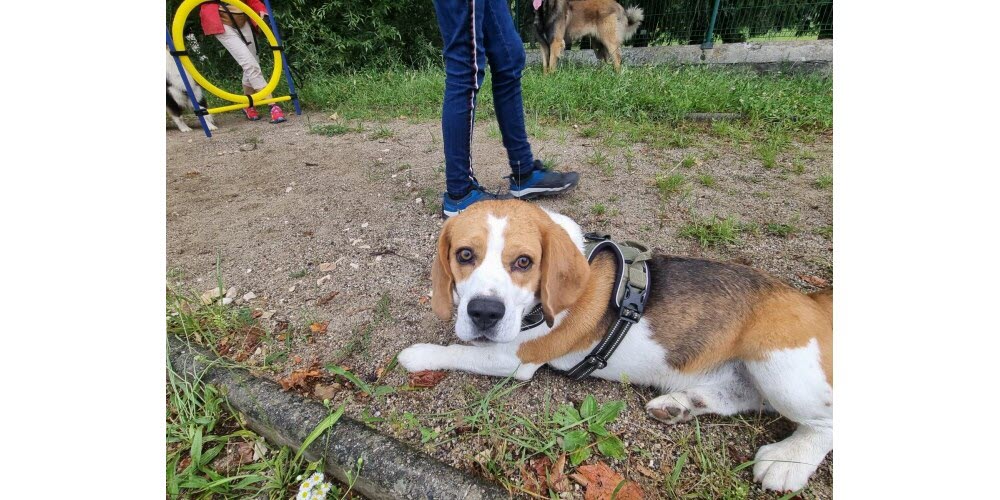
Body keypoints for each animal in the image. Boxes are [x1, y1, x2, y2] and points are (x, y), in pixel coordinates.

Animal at [394, 199, 832, 492]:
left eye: (524, 262)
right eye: (464, 255)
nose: (485, 312)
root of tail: (810, 300)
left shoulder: (512, 358)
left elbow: (458, 350)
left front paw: (417, 354)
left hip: (780, 368)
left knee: (825, 421)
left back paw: (788, 460)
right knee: (742, 396)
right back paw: (681, 405)